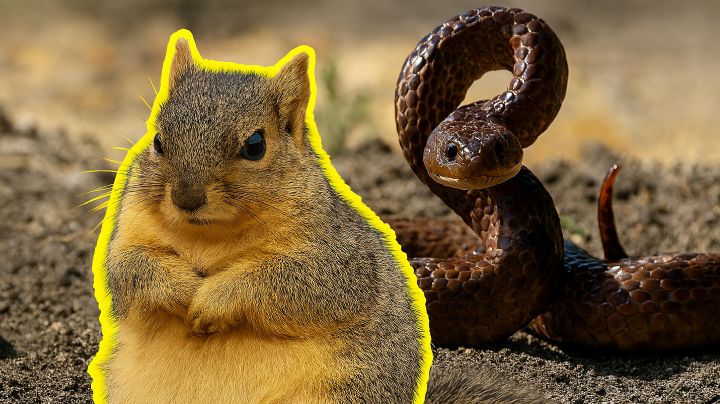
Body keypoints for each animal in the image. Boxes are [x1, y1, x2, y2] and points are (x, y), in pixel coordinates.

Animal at [90, 30, 545, 403]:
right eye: (157, 139)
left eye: (255, 145)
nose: (186, 198)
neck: (208, 237)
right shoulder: (129, 229)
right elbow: (128, 270)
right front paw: (182, 288)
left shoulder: (338, 259)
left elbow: (296, 284)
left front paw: (213, 299)